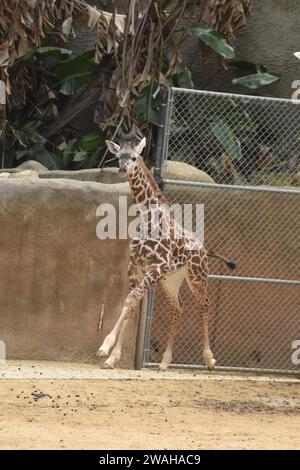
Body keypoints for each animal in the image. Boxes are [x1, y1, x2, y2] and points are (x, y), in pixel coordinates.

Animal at [96, 129, 237, 370]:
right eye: (118, 156)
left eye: (134, 157)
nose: (123, 169)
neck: (147, 218)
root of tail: (204, 250)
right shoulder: (136, 266)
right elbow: (131, 303)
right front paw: (112, 356)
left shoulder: (157, 267)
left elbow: (131, 300)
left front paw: (106, 347)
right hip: (171, 279)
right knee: (177, 308)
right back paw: (164, 361)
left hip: (197, 276)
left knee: (204, 306)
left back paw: (209, 359)